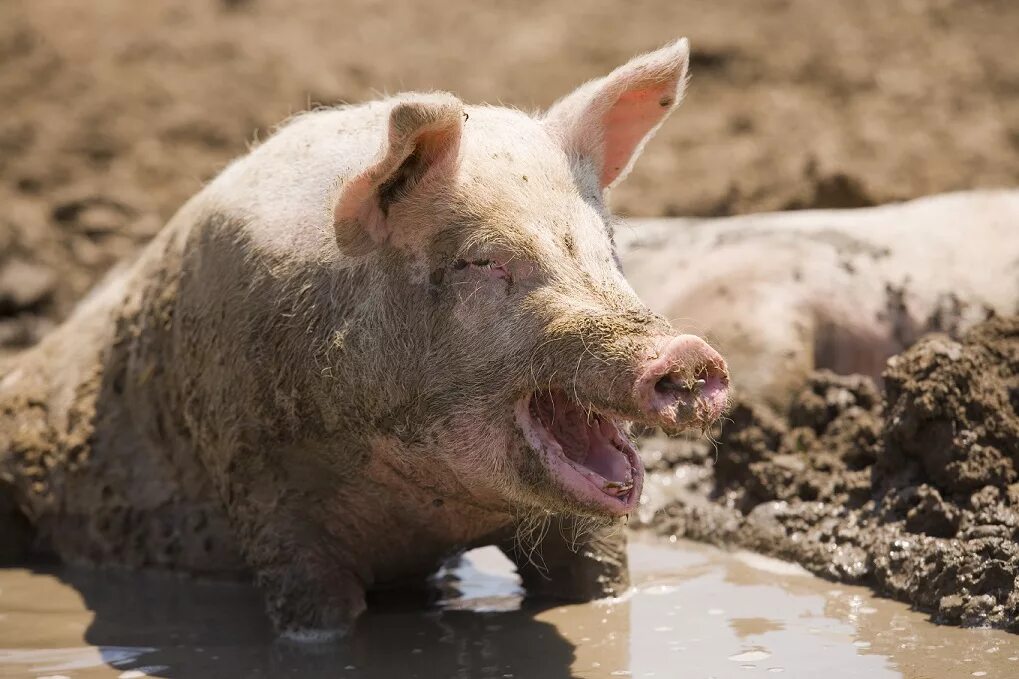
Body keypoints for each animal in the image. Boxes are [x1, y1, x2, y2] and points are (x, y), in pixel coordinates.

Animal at [0, 39, 729, 638]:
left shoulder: (581, 528)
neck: (429, 511)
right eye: (481, 260)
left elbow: (597, 586)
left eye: (607, 244)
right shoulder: (264, 492)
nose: (688, 355)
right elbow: (315, 617)